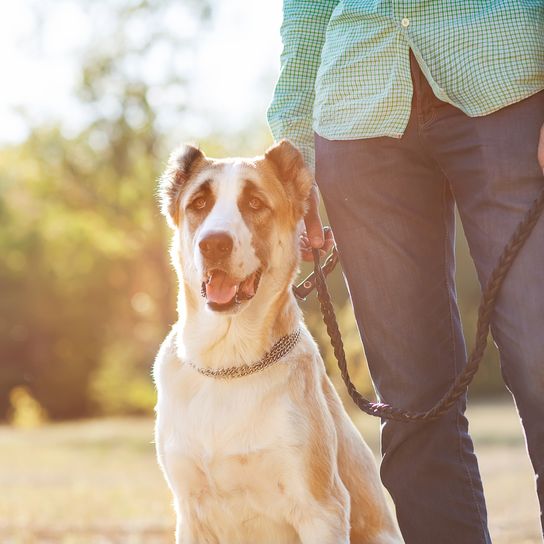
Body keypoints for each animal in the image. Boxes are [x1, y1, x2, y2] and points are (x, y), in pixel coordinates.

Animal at [151, 141, 402, 544]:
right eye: (199, 203)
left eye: (255, 203)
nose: (214, 244)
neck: (228, 363)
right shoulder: (190, 513)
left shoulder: (321, 508)